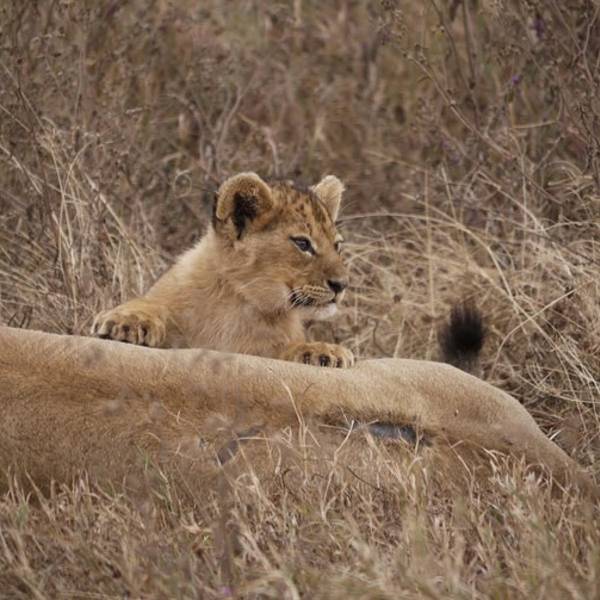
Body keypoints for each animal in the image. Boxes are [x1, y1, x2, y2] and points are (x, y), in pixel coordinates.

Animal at [91, 172, 354, 368]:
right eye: (302, 244)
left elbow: (289, 347)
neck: (239, 301)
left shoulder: (264, 350)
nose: (342, 284)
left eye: (337, 245)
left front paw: (324, 351)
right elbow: (149, 304)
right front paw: (126, 322)